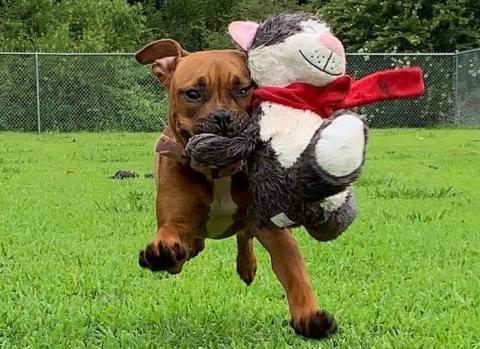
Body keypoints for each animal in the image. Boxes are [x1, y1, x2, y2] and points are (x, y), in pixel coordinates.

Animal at [135, 38, 338, 338]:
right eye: (193, 93)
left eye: (243, 89)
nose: (222, 117)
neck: (219, 172)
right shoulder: (176, 221)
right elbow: (171, 238)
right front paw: (164, 252)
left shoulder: (275, 231)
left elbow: (294, 273)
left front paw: (310, 316)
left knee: (245, 235)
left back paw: (246, 266)